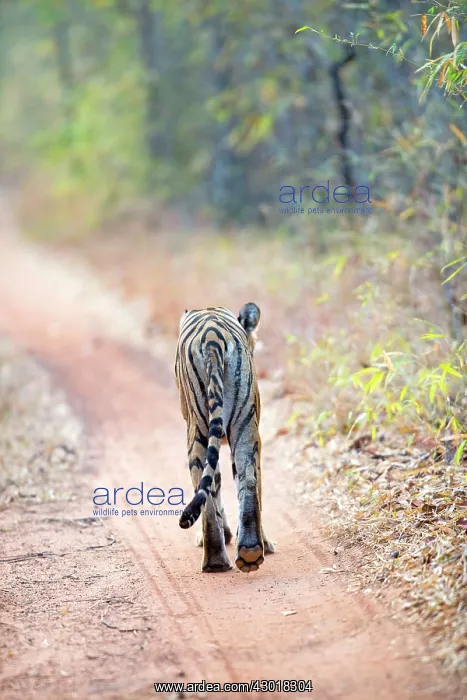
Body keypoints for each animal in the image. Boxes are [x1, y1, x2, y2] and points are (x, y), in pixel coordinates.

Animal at [175, 303, 274, 573]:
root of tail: (211, 338)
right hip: (243, 426)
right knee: (249, 480)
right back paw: (246, 552)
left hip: (202, 429)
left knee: (212, 489)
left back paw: (217, 560)